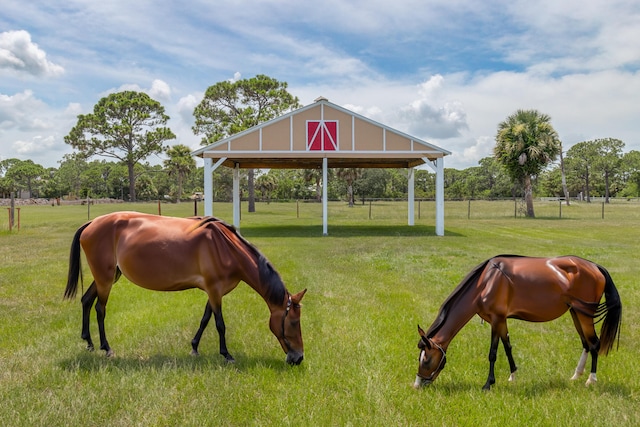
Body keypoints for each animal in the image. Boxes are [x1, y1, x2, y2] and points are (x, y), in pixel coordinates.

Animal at [65, 212, 308, 366]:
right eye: (293, 322)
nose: (298, 358)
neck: (226, 247)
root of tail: (91, 223)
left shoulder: (213, 291)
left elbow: (205, 319)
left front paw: (194, 347)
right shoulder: (215, 290)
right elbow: (220, 324)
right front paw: (227, 355)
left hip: (107, 277)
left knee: (86, 301)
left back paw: (89, 343)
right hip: (105, 278)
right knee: (100, 309)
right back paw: (106, 348)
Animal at [416, 254, 620, 392]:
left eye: (426, 360)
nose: (417, 384)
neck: (487, 281)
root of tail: (595, 267)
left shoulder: (496, 319)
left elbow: (493, 353)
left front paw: (488, 384)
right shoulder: (500, 320)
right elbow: (507, 347)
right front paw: (512, 375)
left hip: (584, 315)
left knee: (594, 344)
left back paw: (591, 380)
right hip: (576, 312)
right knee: (586, 343)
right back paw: (576, 375)